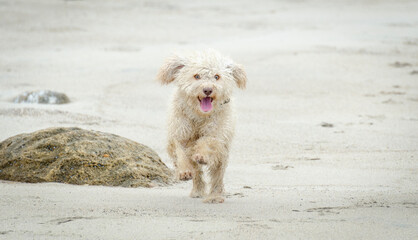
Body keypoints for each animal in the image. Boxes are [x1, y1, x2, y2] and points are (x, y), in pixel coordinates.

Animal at [158, 50, 248, 202]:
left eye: (217, 77)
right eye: (197, 76)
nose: (207, 90)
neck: (199, 115)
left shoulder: (217, 134)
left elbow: (208, 141)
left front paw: (201, 155)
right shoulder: (179, 132)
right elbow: (179, 150)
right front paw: (184, 171)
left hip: (222, 155)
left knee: (217, 176)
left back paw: (215, 196)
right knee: (197, 173)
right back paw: (197, 191)